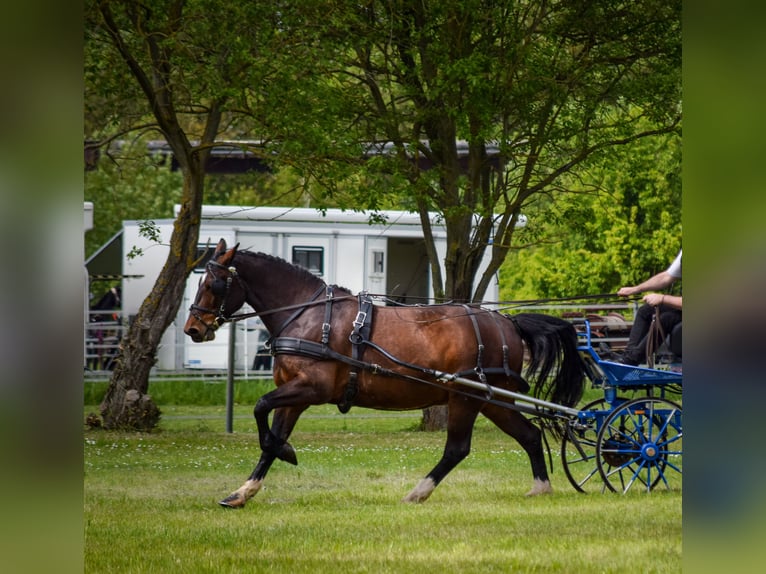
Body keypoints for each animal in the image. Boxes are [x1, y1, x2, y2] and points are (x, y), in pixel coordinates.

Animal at [184, 238, 584, 508]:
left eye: (213, 284)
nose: (193, 329)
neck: (308, 315)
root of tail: (507, 323)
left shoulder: (311, 389)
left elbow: (260, 411)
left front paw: (285, 453)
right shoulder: (294, 395)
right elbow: (270, 434)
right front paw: (243, 491)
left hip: (466, 398)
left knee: (457, 448)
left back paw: (418, 492)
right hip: (491, 399)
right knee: (529, 435)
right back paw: (541, 487)